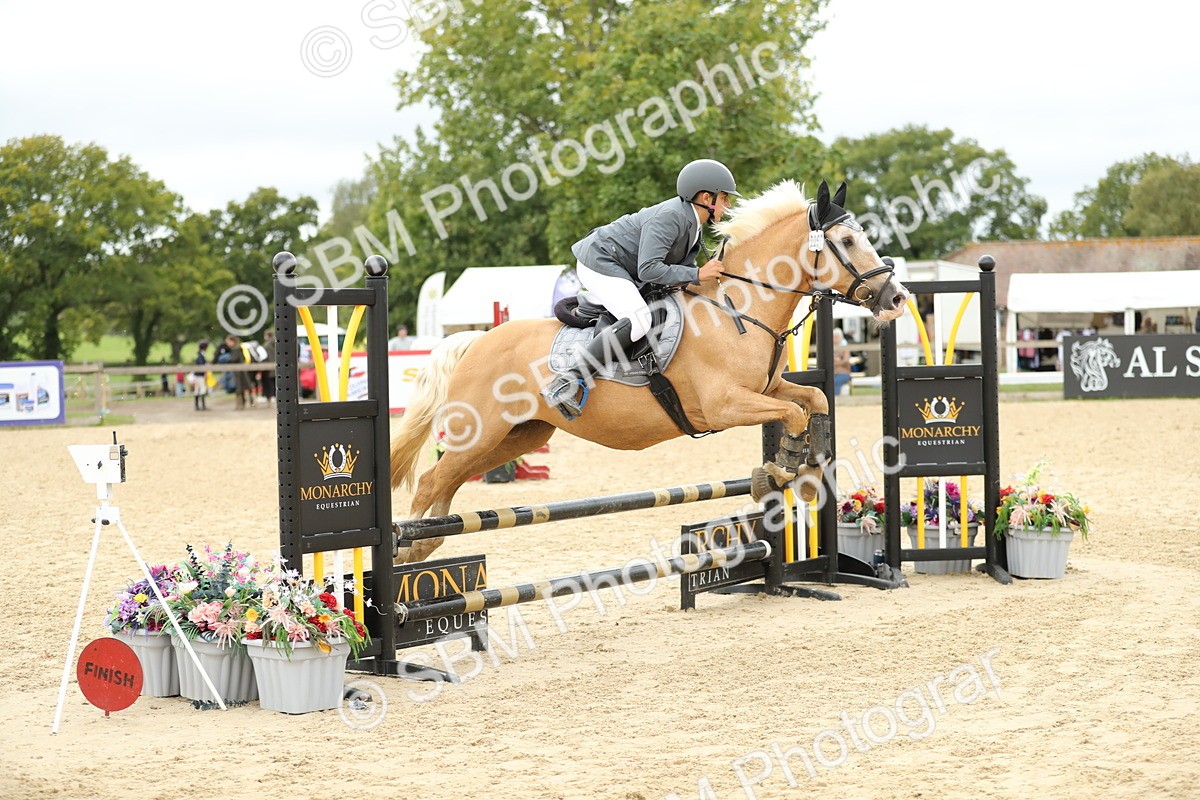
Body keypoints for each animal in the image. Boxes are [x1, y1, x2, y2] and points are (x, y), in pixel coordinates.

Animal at [390, 179, 909, 563]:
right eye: (847, 241)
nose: (897, 298)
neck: (739, 307)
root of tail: (475, 340)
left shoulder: (771, 387)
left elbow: (813, 401)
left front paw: (803, 470)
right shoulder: (724, 405)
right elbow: (793, 415)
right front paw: (779, 470)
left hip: (518, 434)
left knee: (448, 480)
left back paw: (426, 544)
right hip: (481, 430)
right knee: (432, 481)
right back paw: (408, 550)